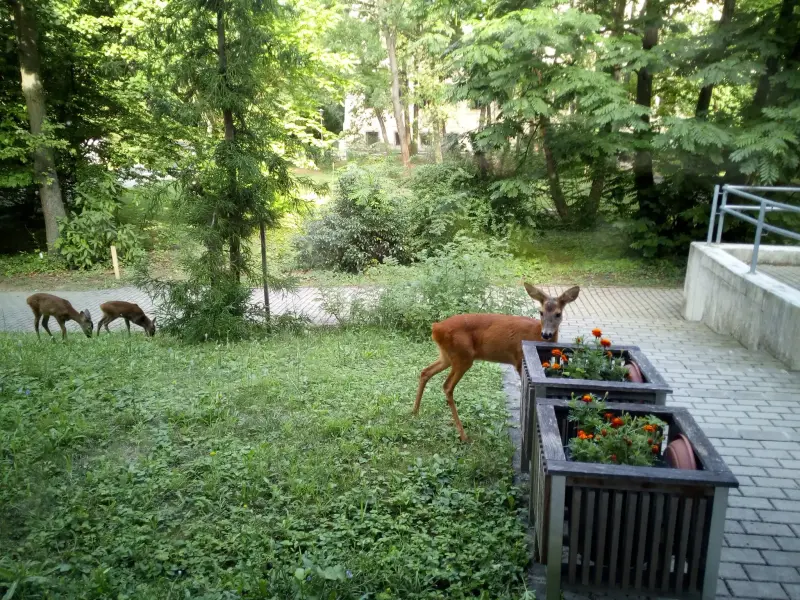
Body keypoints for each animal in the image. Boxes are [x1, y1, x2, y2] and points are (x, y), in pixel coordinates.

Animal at [416, 282, 580, 440]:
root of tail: (436, 328)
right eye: (541, 312)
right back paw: (463, 436)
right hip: (462, 356)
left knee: (425, 372)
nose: (546, 334)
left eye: (558, 314)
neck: (536, 334)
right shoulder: (520, 360)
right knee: (447, 386)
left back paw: (414, 412)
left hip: (447, 356)